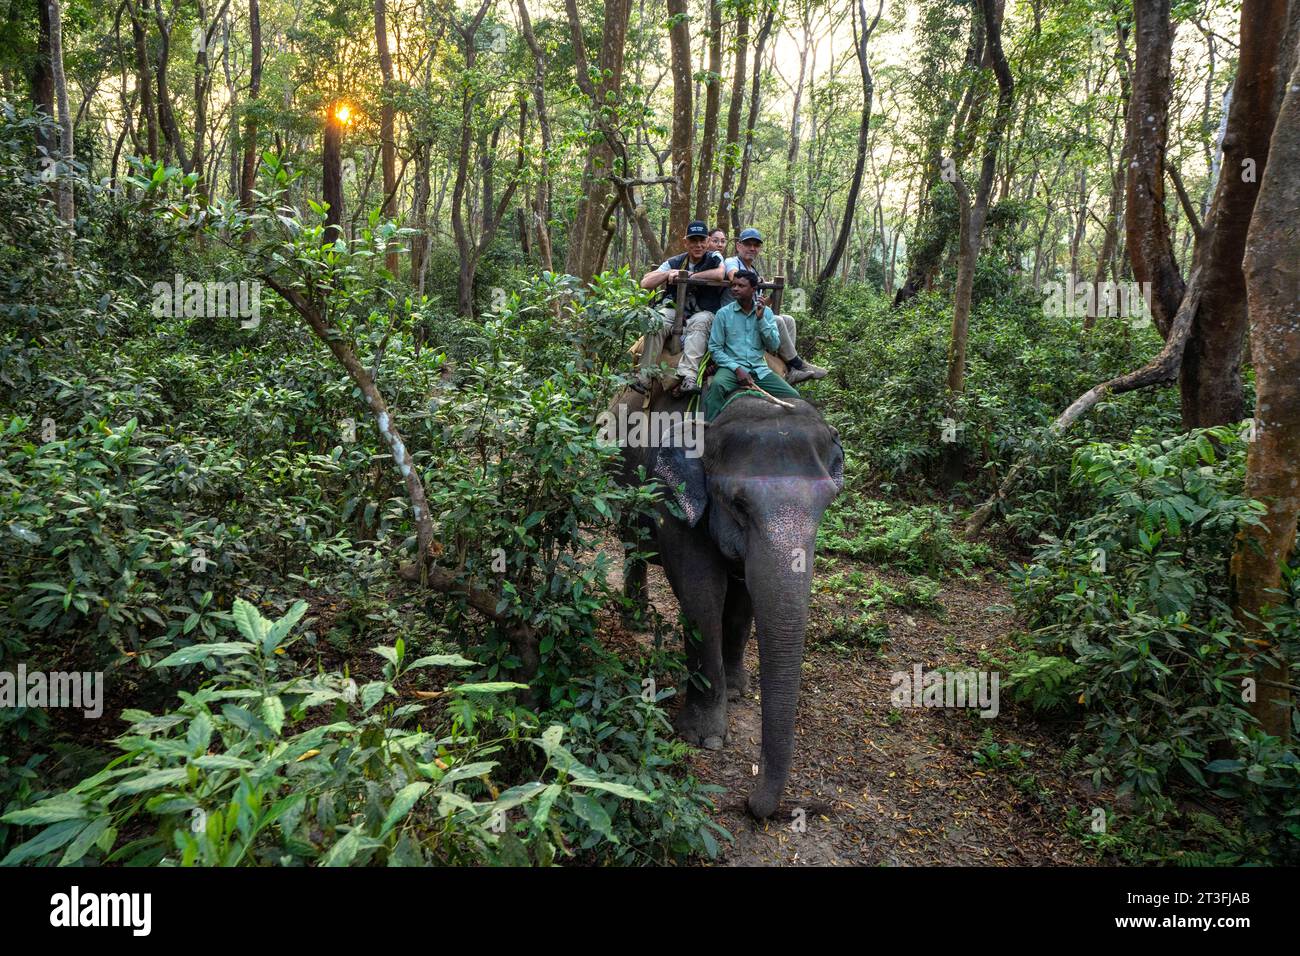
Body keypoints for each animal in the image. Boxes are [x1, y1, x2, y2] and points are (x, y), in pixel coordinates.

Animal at [613, 382, 847, 816]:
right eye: (739, 504)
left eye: (828, 502)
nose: (751, 802)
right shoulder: (671, 493)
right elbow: (701, 589)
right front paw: (704, 737)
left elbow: (744, 593)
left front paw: (738, 689)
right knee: (631, 543)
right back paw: (635, 620)